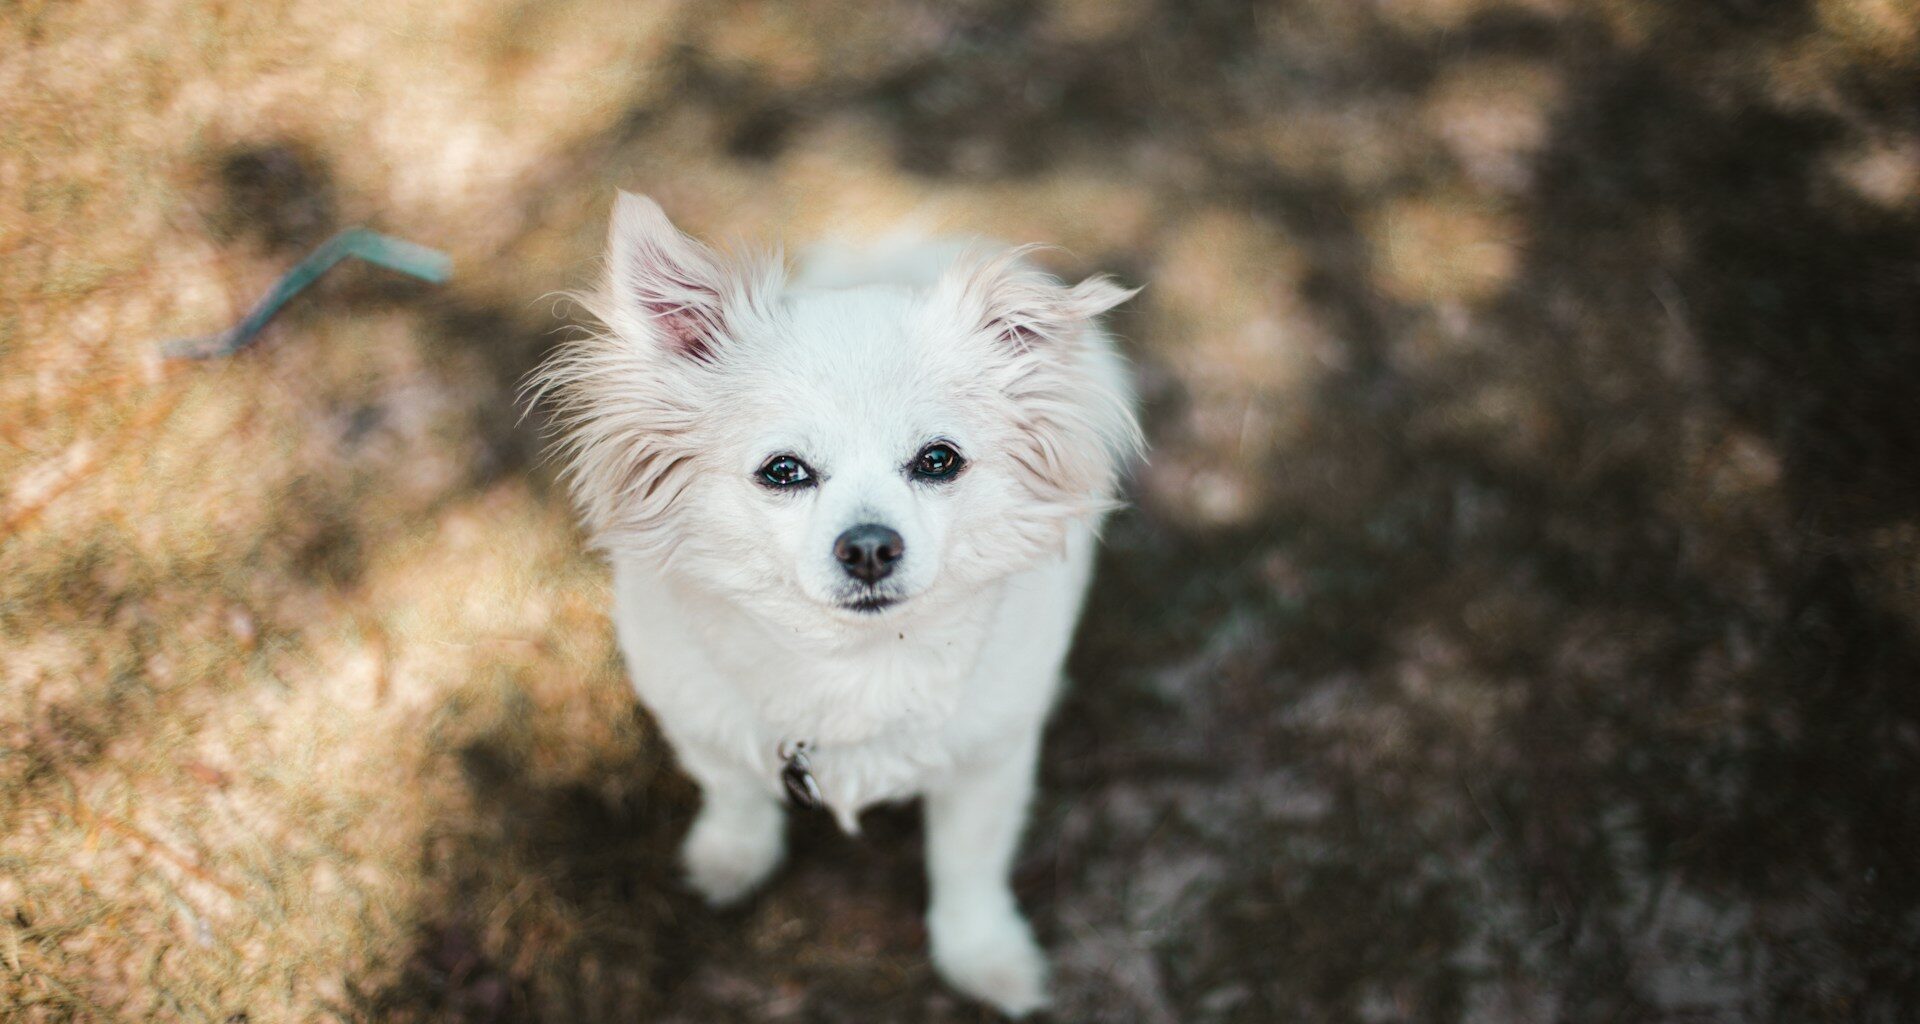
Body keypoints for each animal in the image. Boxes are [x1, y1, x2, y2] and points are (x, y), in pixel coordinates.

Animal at [526, 194, 1136, 1014]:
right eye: (783, 471)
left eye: (938, 460)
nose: (870, 546)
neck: (850, 664)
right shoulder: (701, 723)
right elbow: (735, 796)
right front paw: (731, 859)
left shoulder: (989, 766)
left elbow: (967, 867)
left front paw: (982, 956)